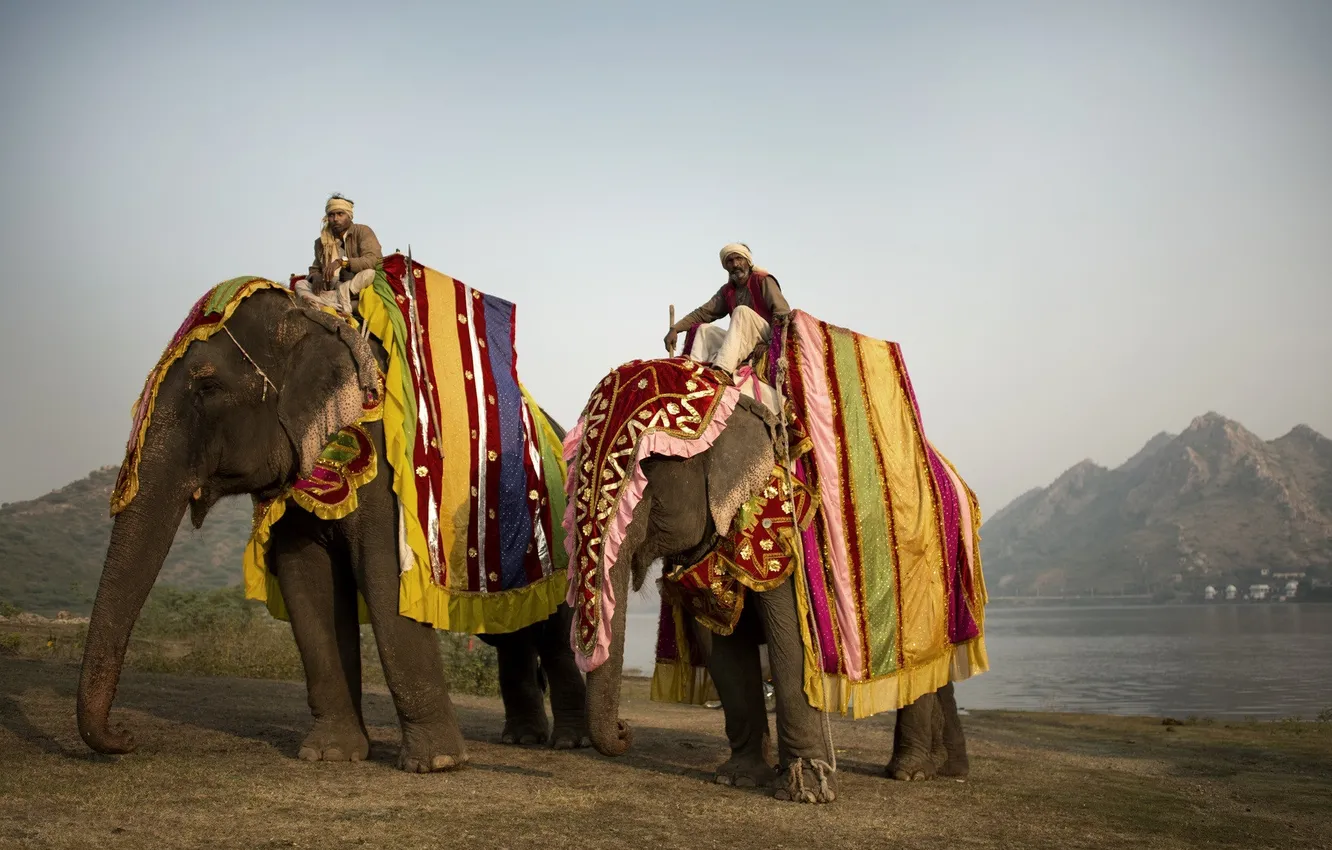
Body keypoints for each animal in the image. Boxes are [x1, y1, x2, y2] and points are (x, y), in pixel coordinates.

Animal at [77, 287, 587, 772]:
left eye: (207, 386)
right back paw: (522, 739)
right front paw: (330, 755)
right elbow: (307, 581)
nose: (126, 737)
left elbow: (384, 576)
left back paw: (567, 743)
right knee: (515, 636)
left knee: (555, 636)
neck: (312, 320)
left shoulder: (388, 472)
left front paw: (437, 764)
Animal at [580, 392, 969, 802]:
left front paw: (807, 791)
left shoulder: (786, 531)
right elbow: (722, 644)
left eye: (645, 472)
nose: (625, 728)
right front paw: (739, 779)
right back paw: (945, 768)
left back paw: (910, 771)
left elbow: (792, 638)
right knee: (934, 668)